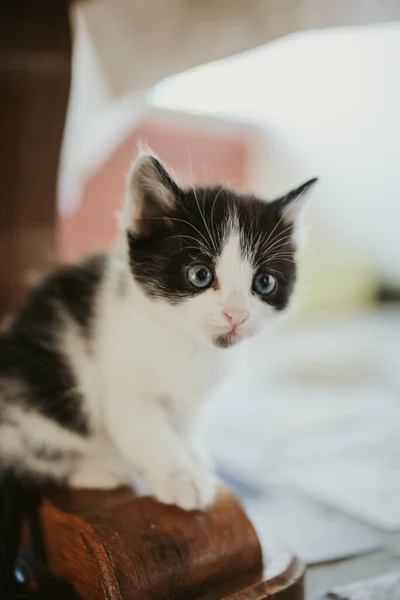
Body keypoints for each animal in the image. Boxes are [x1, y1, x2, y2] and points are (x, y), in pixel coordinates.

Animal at [0, 151, 318, 596]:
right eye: (200, 275)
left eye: (265, 282)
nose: (235, 315)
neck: (186, 348)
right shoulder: (123, 386)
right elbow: (148, 432)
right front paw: (182, 478)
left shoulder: (193, 396)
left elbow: (184, 423)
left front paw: (194, 454)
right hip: (39, 392)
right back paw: (99, 469)